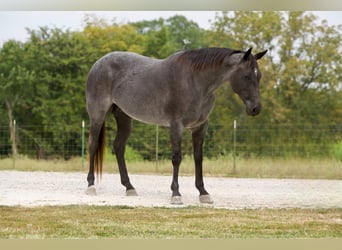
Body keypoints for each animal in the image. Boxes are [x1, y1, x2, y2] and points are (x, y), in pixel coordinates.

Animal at [85, 47, 268, 205]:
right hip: (97, 115)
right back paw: (91, 185)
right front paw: (176, 194)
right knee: (93, 145)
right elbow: (176, 158)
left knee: (119, 147)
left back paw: (129, 187)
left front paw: (203, 193)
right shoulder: (176, 126)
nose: (256, 108)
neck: (195, 82)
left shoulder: (200, 127)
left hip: (124, 117)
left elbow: (198, 158)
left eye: (259, 76)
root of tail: (98, 64)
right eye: (246, 76)